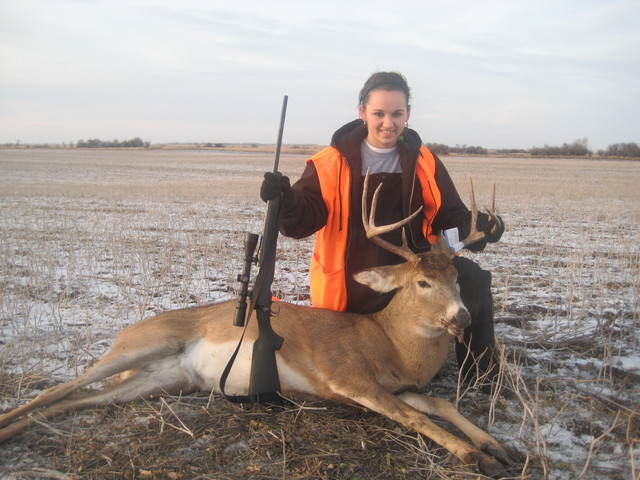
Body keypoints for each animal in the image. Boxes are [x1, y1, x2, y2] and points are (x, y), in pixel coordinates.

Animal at [0, 176, 511, 478]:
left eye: (455, 280)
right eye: (423, 282)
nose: (462, 318)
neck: (390, 345)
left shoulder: (398, 385)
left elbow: (439, 403)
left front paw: (496, 444)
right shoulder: (347, 376)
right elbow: (414, 417)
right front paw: (476, 457)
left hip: (157, 382)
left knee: (74, 402)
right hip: (140, 346)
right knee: (59, 388)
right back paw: (8, 425)